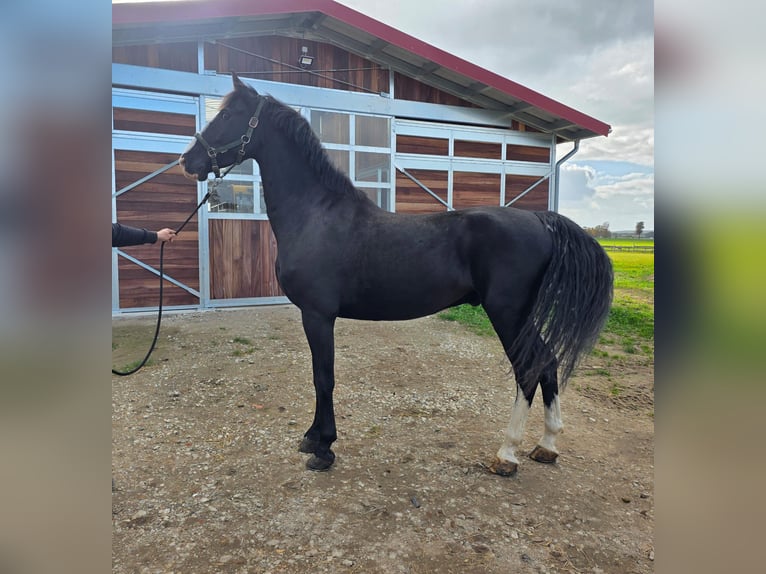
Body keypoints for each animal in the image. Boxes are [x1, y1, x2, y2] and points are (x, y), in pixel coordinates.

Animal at [180, 73, 613, 475]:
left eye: (229, 115)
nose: (188, 160)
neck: (317, 214)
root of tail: (540, 220)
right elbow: (320, 376)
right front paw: (312, 438)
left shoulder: (318, 315)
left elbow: (324, 377)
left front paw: (324, 448)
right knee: (548, 363)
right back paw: (547, 445)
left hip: (509, 314)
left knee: (529, 369)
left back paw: (507, 454)